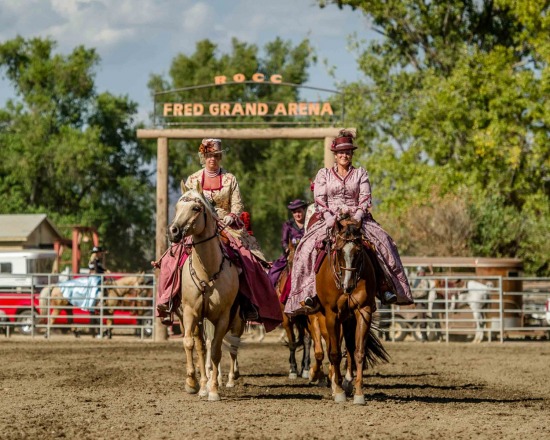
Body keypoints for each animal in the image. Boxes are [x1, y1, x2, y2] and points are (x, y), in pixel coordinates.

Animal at [168, 182, 242, 402]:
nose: (173, 231)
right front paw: (192, 383)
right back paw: (201, 385)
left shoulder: (223, 316)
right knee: (201, 346)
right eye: (177, 207)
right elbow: (189, 344)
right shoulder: (191, 312)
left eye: (196, 208)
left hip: (234, 320)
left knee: (226, 347)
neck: (207, 271)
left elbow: (216, 350)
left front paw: (214, 390)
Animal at [314, 218, 388, 404]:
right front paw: (339, 392)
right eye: (340, 250)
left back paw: (347, 382)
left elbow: (359, 351)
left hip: (348, 319)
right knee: (332, 348)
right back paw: (336, 385)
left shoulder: (363, 311)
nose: (348, 286)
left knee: (348, 347)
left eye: (359, 251)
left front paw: (359, 393)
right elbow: (334, 353)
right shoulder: (332, 314)